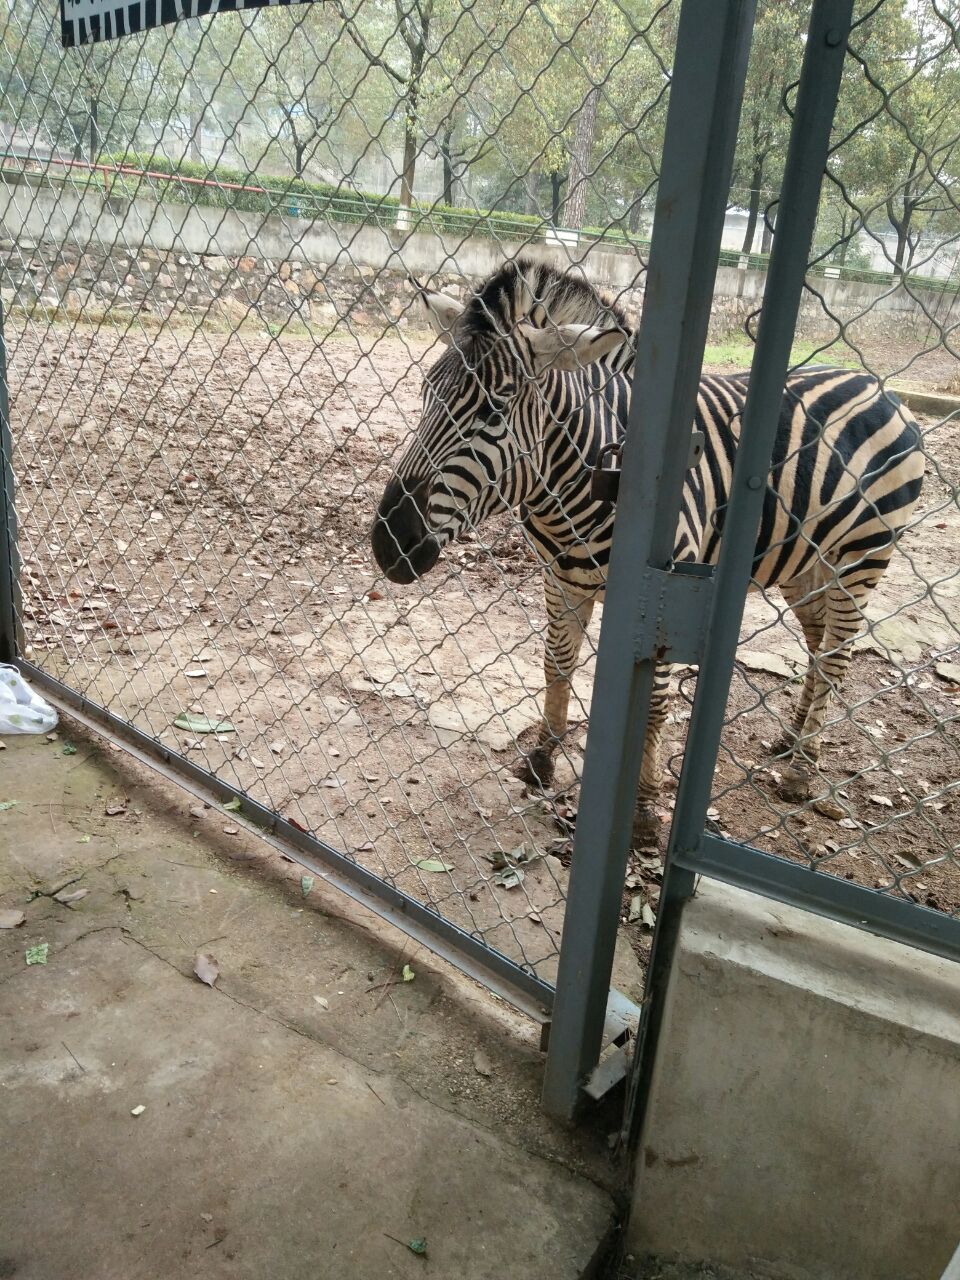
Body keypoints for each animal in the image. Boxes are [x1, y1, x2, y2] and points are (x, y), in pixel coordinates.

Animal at [371, 259, 926, 839]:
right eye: (424, 393)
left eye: (494, 412)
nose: (388, 544)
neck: (577, 484)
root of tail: (878, 385)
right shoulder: (560, 578)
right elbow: (556, 665)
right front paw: (543, 760)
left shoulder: (657, 607)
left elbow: (654, 706)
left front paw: (642, 804)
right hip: (803, 560)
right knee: (818, 644)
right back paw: (790, 741)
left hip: (860, 558)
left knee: (838, 654)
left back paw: (803, 770)